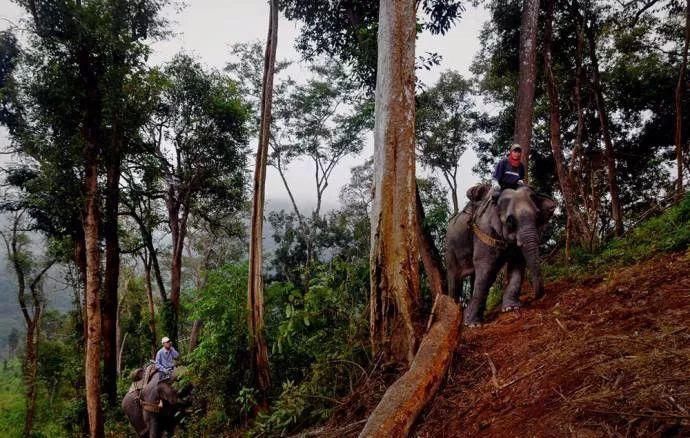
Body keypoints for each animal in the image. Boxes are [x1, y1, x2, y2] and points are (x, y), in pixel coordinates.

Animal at [446, 184, 552, 326]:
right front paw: (473, 324)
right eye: (510, 221)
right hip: (450, 250)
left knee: (474, 277)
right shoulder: (484, 231)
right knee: (454, 280)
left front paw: (511, 308)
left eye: (538, 216)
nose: (535, 298)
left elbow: (517, 263)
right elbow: (486, 268)